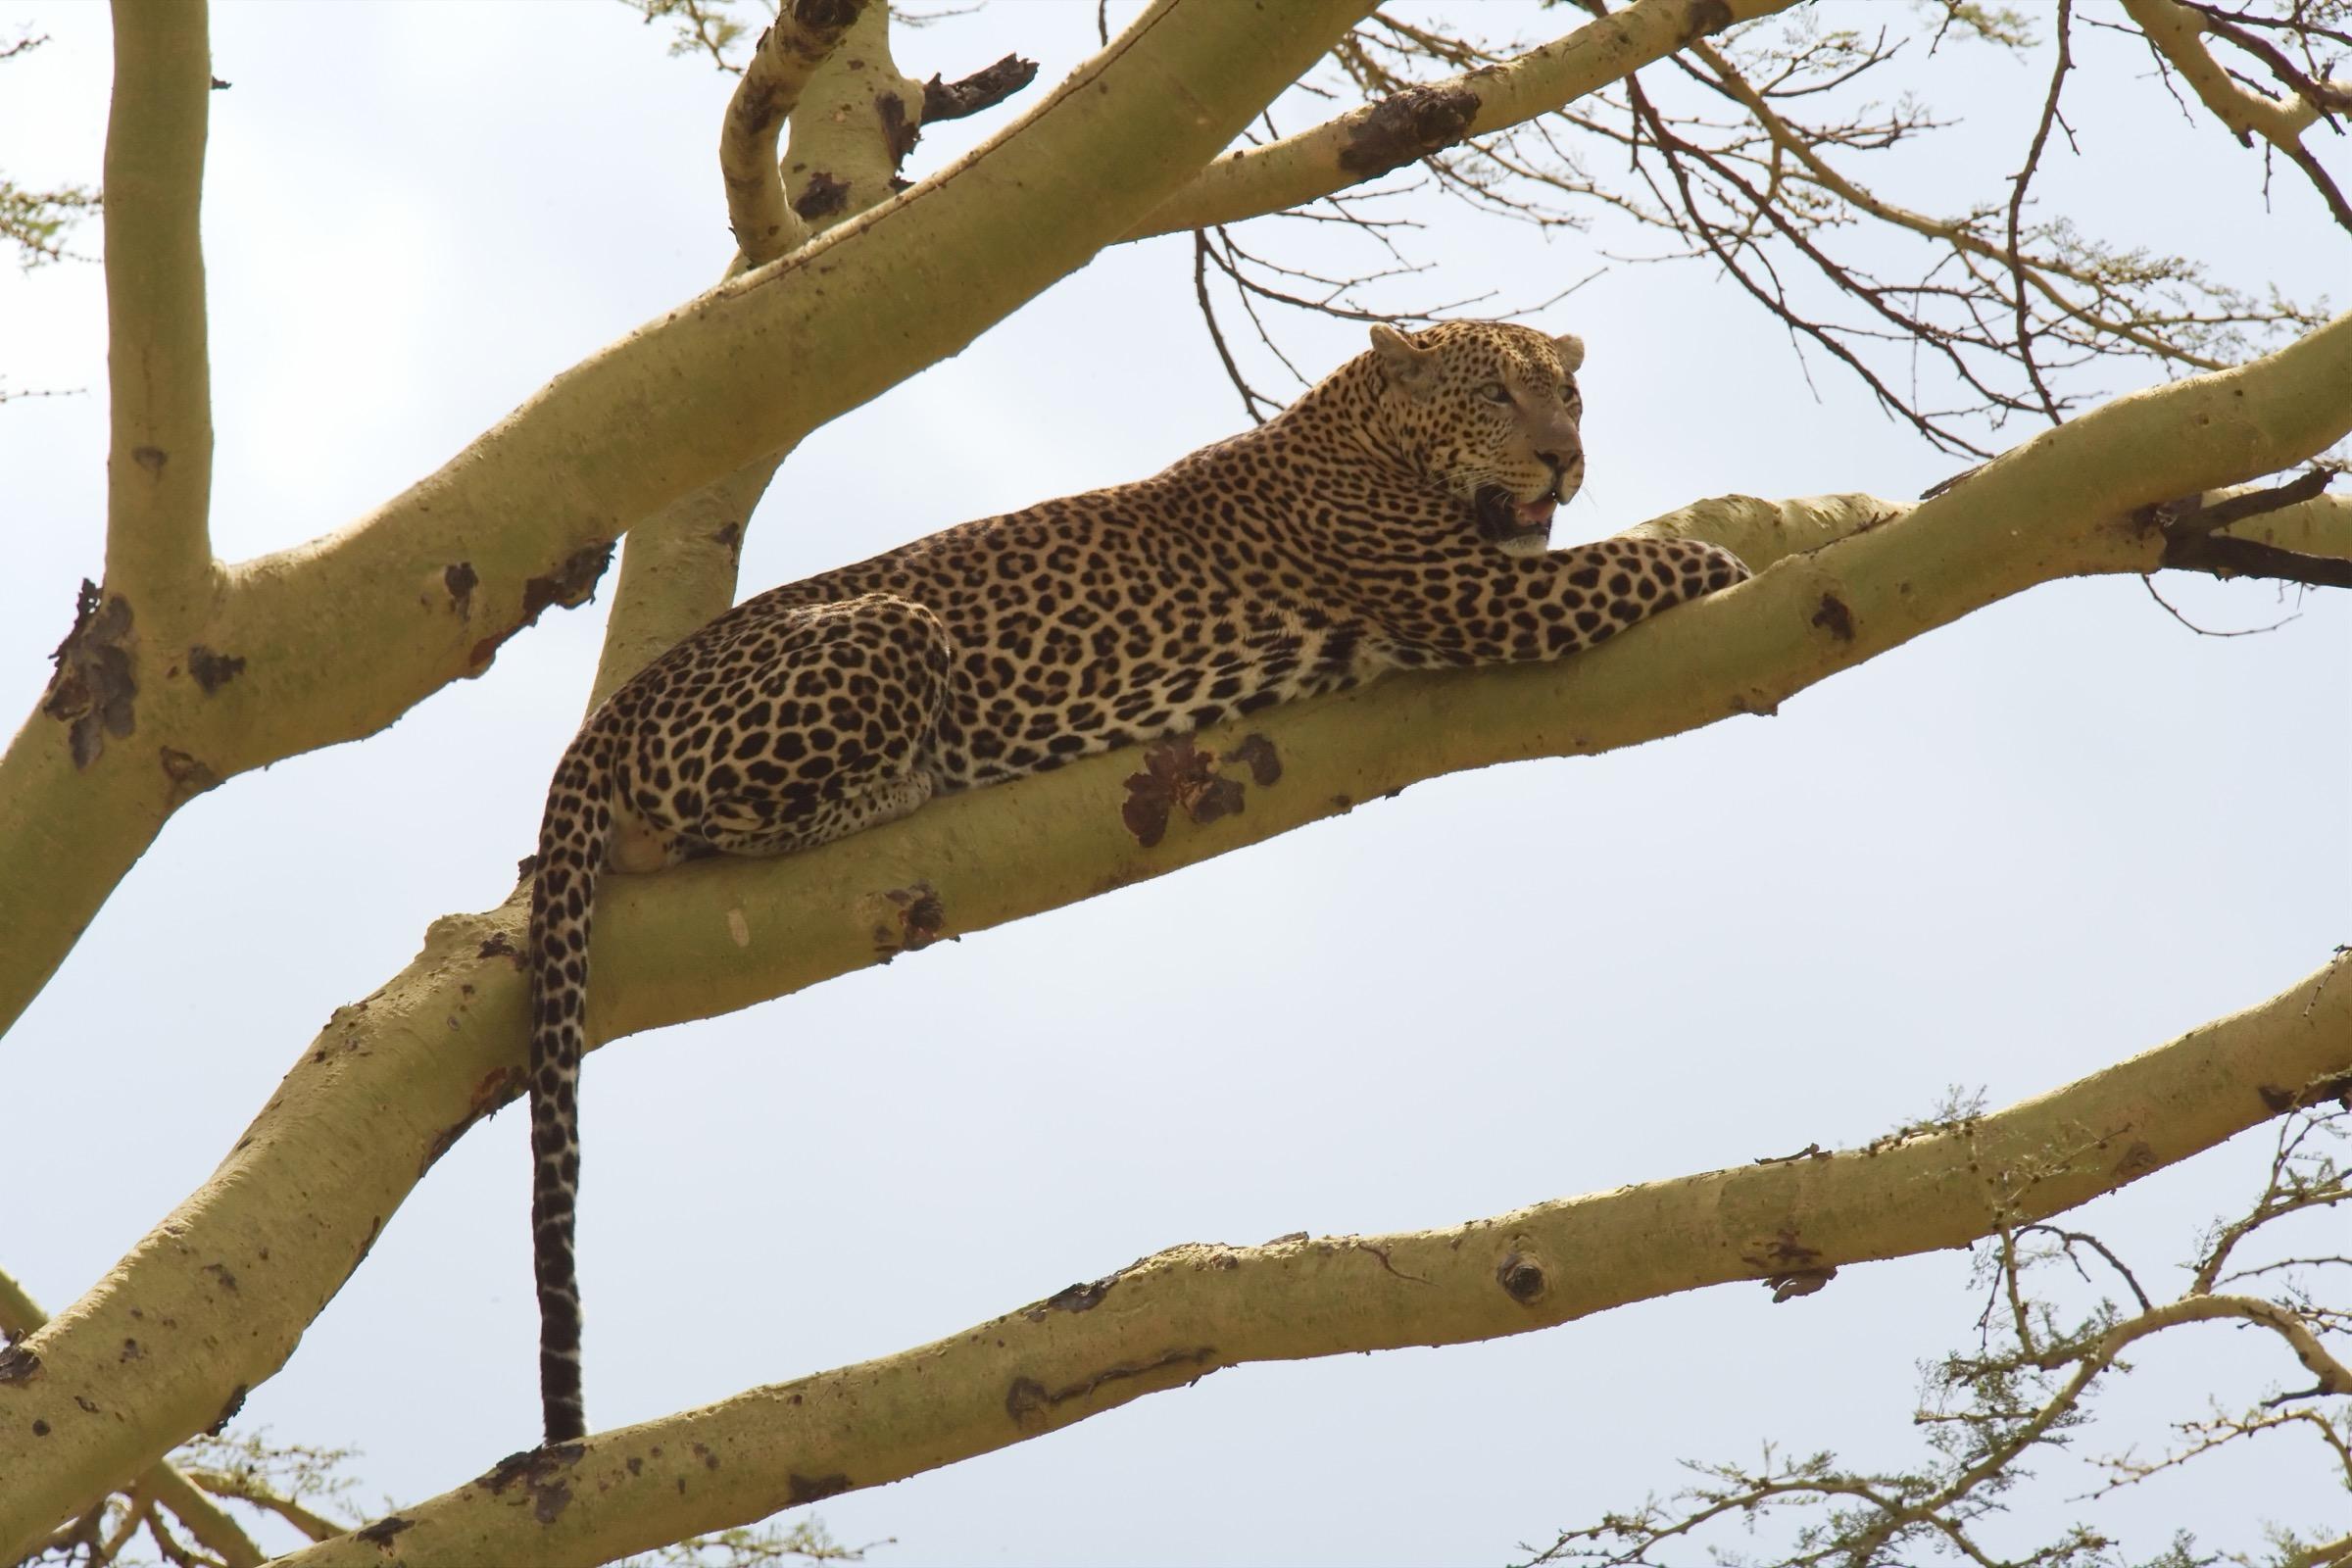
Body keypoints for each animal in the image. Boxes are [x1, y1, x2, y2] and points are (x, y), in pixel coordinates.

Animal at [523, 319, 1752, 1445]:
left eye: (1570, 398)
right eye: (1498, 396)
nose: (1562, 459)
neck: (1367, 435)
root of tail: (613, 710)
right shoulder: (1483, 599)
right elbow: (1630, 558)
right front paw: (1733, 563)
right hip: (888, 635)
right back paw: (903, 782)